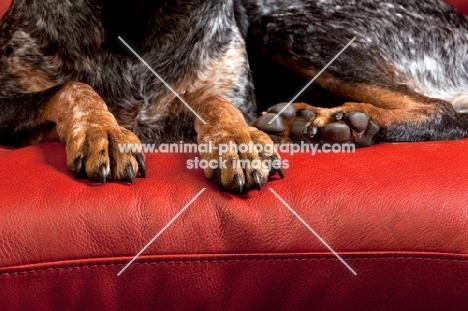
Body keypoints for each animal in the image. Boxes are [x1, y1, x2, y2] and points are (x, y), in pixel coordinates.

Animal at [0, 0, 466, 193]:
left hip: (282, 23)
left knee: (445, 110)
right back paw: (306, 121)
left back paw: (346, 122)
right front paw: (104, 131)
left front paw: (236, 142)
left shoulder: (232, 94)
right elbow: (72, 87)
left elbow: (214, 103)